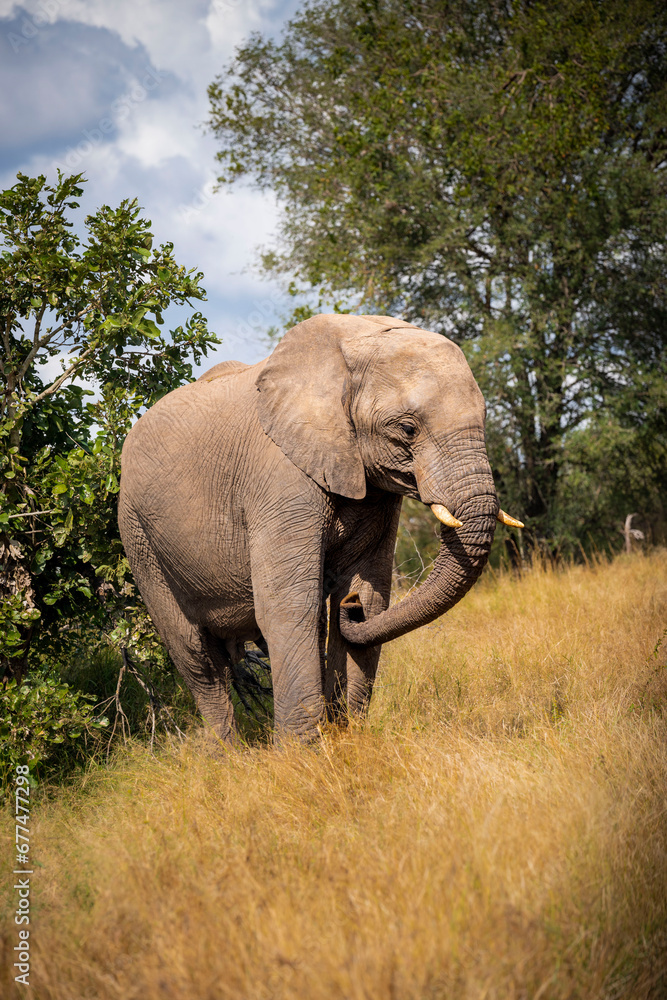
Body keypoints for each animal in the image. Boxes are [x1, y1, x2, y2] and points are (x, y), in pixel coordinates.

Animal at [118, 313, 522, 742]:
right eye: (408, 429)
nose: (350, 609)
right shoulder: (279, 477)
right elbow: (288, 606)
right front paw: (300, 753)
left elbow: (370, 594)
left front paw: (347, 738)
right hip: (138, 536)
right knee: (195, 657)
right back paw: (226, 754)